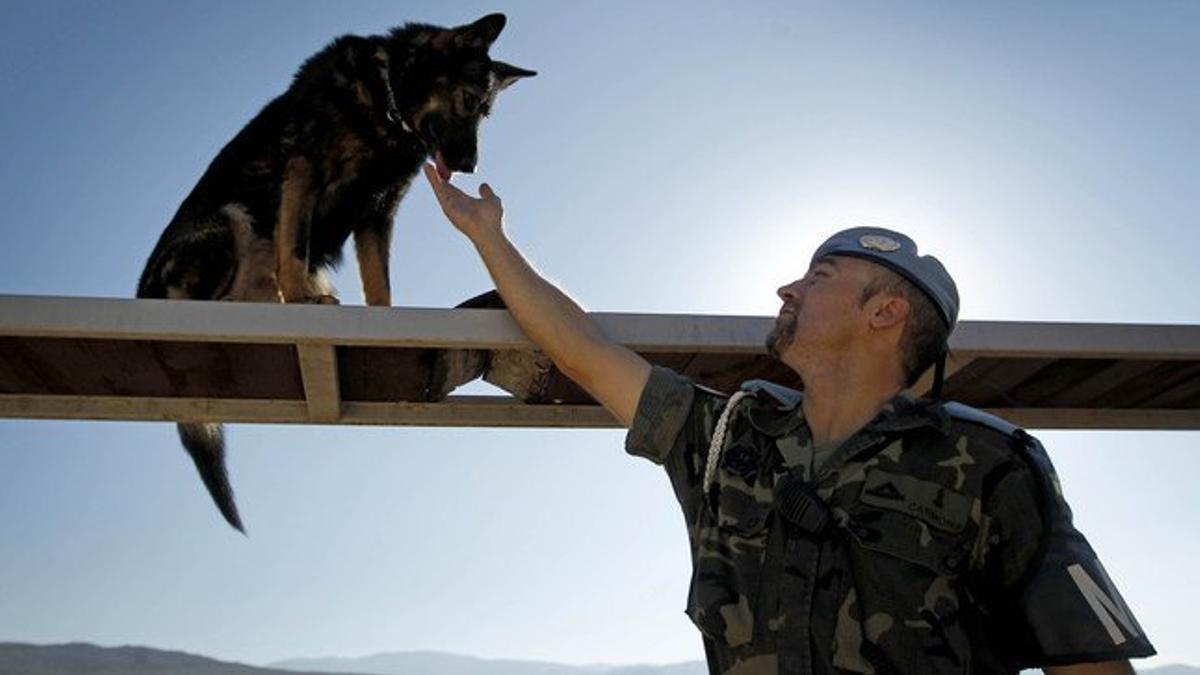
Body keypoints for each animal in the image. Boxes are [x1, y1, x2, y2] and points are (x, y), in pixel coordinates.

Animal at [133, 14, 537, 530]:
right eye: (467, 100)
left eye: (485, 113)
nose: (469, 166)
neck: (386, 103)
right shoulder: (305, 171)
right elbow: (295, 247)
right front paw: (298, 297)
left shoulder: (378, 212)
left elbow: (379, 281)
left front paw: (384, 319)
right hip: (229, 220)